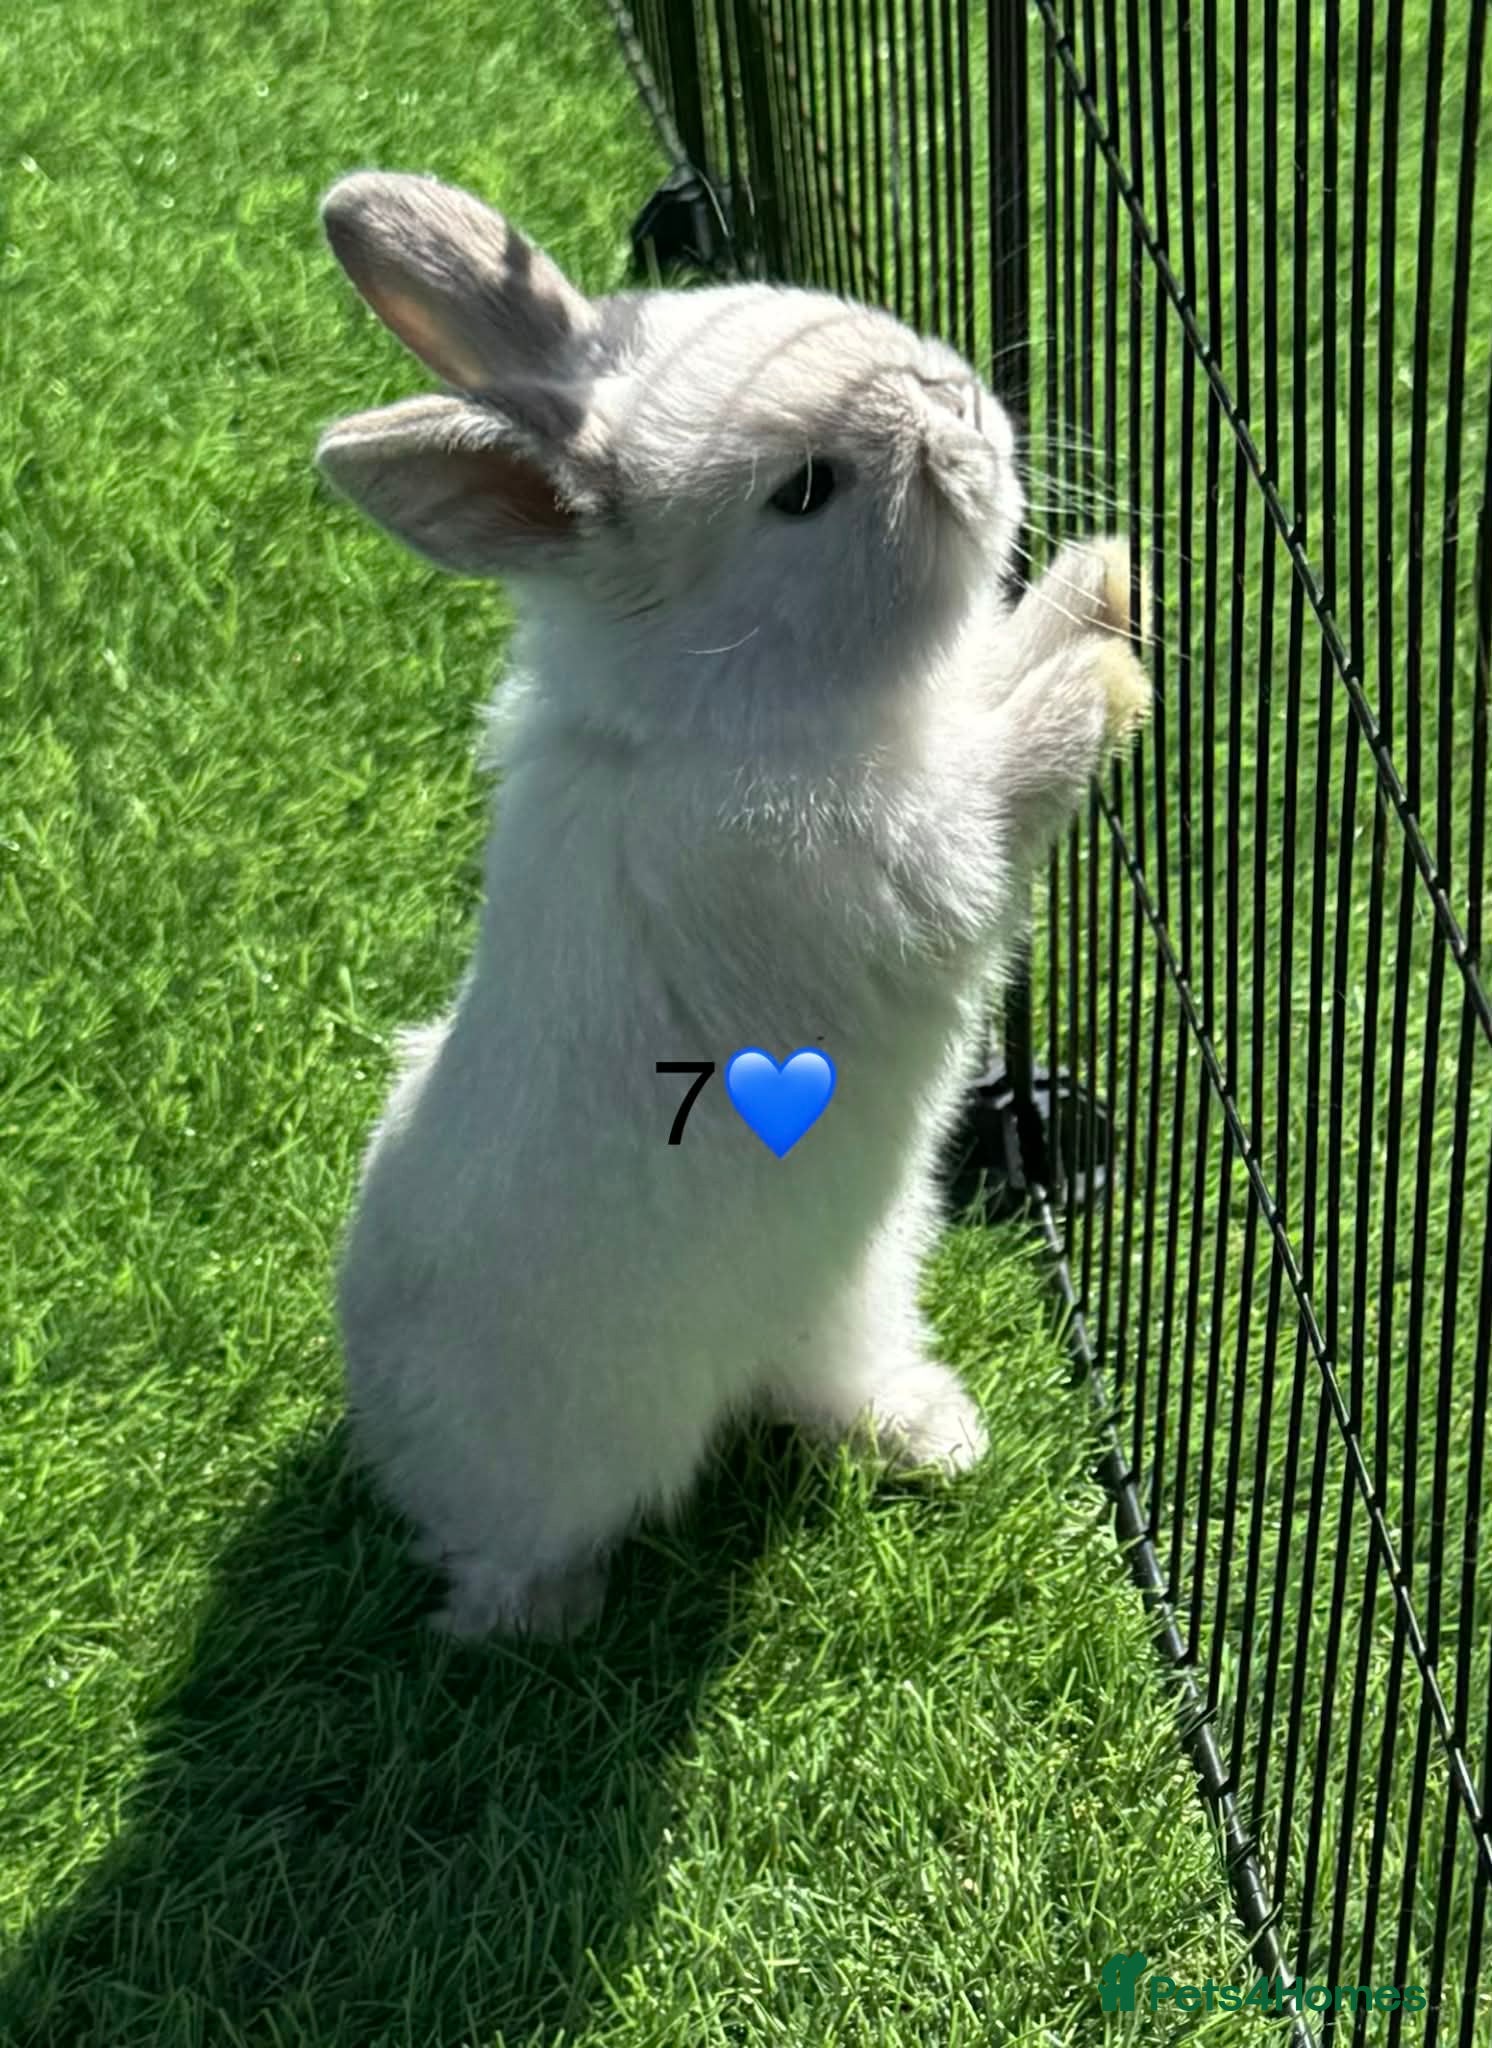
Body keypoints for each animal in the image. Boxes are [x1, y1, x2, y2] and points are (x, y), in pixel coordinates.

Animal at [315, 170, 1151, 1641]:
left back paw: (938, 1437)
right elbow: (1015, 771)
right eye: (803, 492)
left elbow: (997, 668)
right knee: (497, 1561)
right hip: (562, 1462)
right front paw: (1103, 658)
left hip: (854, 1285)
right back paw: (546, 1613)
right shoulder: (915, 854)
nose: (956, 402)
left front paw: (1096, 578)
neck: (727, 696)